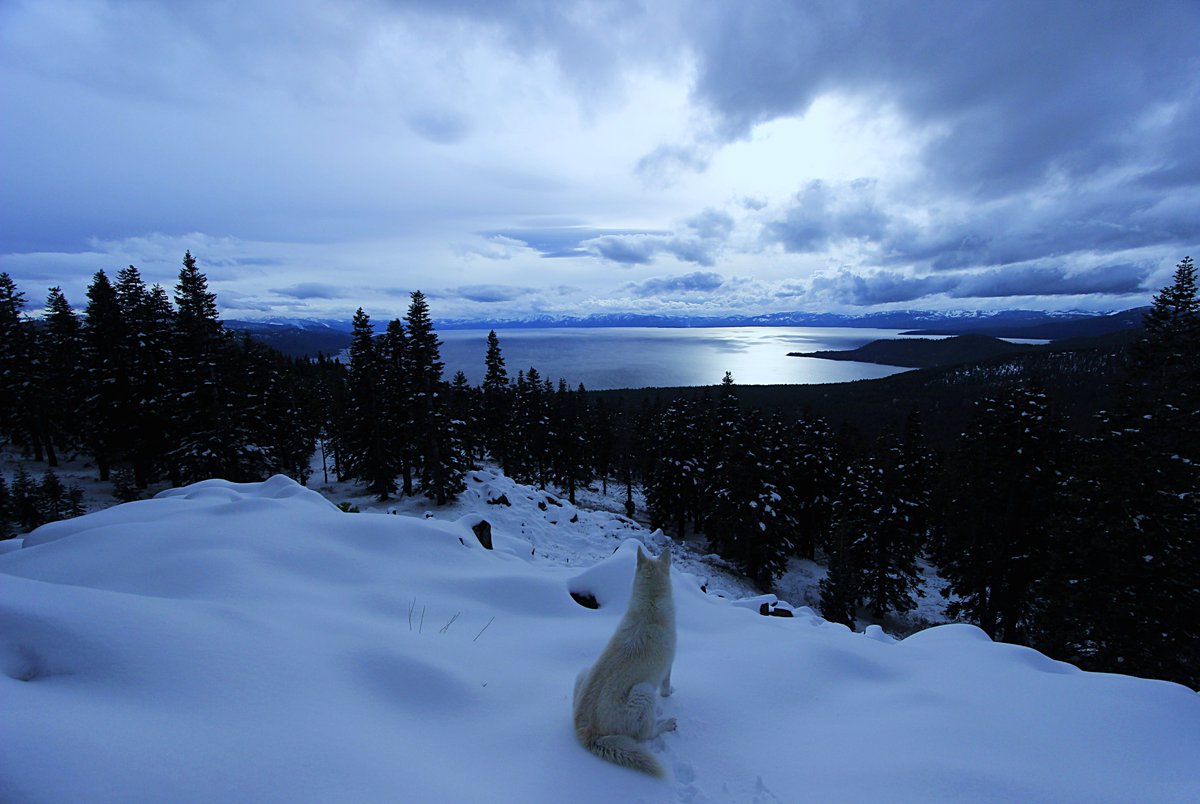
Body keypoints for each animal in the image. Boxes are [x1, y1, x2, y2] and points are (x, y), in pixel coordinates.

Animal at [573, 544, 677, 777]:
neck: (650, 605)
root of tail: (587, 733)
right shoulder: (669, 666)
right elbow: (666, 688)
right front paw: (670, 695)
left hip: (583, 671)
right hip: (644, 692)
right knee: (646, 734)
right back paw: (666, 724)